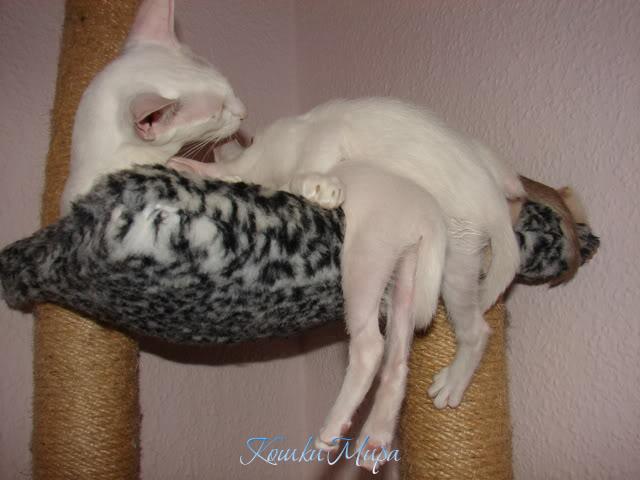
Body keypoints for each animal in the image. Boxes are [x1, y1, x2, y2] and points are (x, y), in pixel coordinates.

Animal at [169, 97, 523, 417]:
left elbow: (309, 162)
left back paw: (452, 381)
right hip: (458, 252)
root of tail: (493, 201)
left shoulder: (319, 133)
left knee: (477, 330)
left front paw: (316, 183)